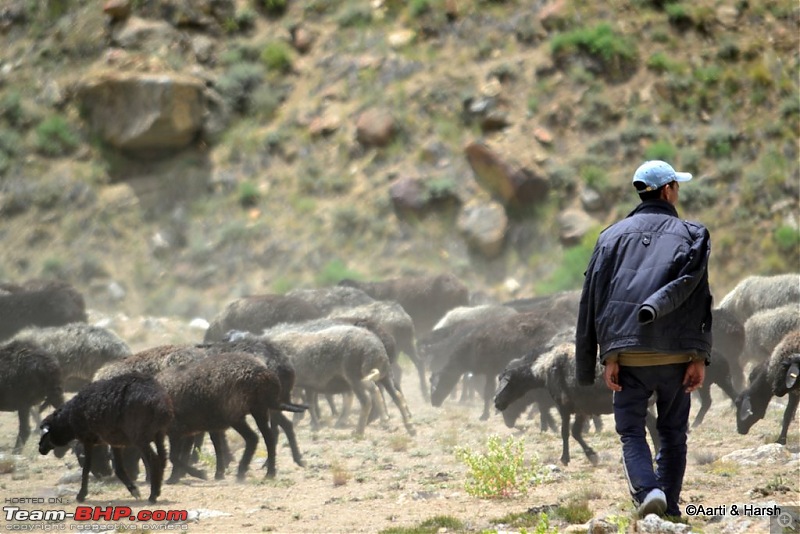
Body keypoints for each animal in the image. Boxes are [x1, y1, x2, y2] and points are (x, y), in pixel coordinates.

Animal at [38, 372, 173, 506]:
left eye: (46, 432)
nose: (40, 448)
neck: (69, 420)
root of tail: (159, 402)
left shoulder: (88, 439)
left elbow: (86, 468)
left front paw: (81, 495)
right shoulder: (115, 442)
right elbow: (119, 469)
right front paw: (133, 490)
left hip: (140, 437)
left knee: (154, 460)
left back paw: (153, 496)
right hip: (159, 434)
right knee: (162, 459)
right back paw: (157, 490)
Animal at [428, 310, 560, 422]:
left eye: (437, 384)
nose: (433, 402)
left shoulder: (489, 371)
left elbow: (488, 392)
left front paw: (484, 415)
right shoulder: (491, 372)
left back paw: (533, 413)